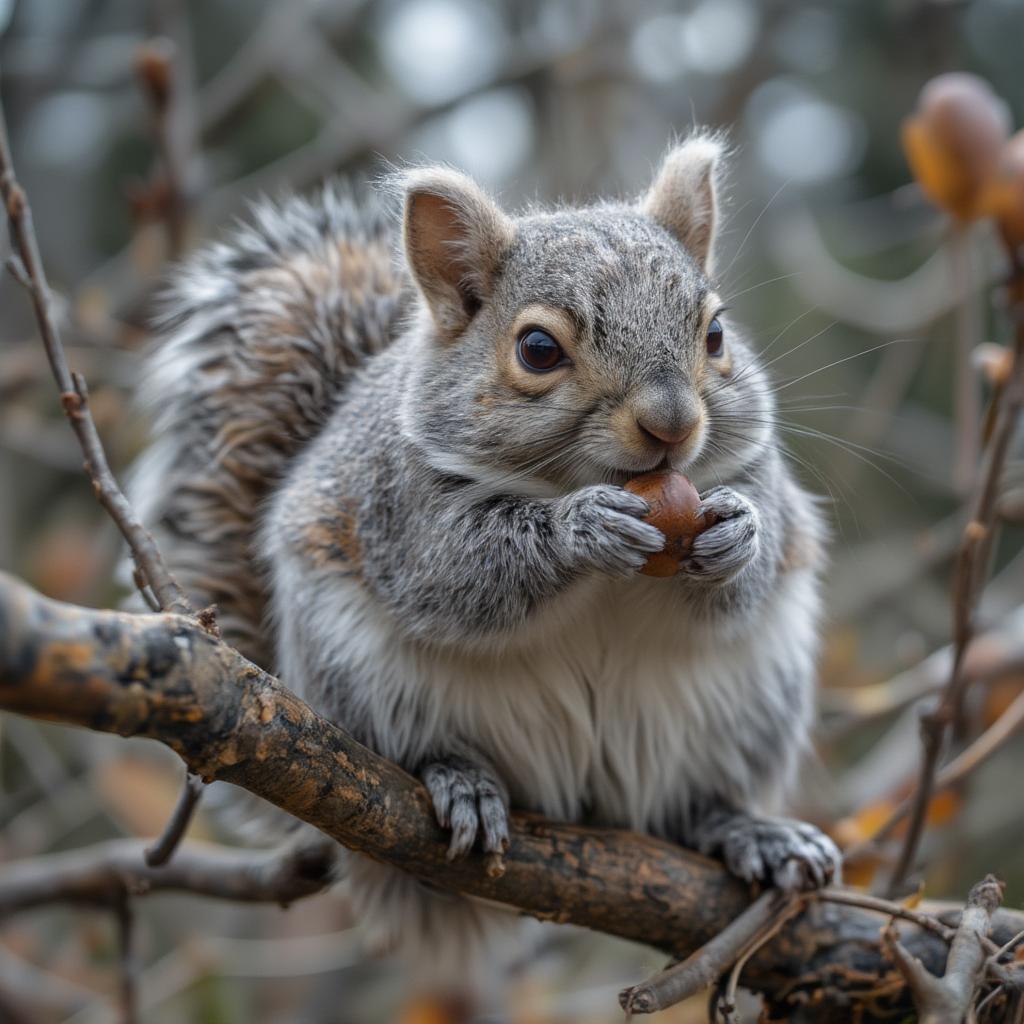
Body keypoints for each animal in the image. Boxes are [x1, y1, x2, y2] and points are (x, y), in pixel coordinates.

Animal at [132, 134, 839, 983]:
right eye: (537, 349)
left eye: (716, 336)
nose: (673, 424)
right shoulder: (401, 509)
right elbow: (460, 573)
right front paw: (580, 529)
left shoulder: (754, 471)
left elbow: (747, 574)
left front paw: (739, 533)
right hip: (360, 679)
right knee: (412, 753)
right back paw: (460, 779)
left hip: (746, 708)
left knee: (686, 809)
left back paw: (749, 829)